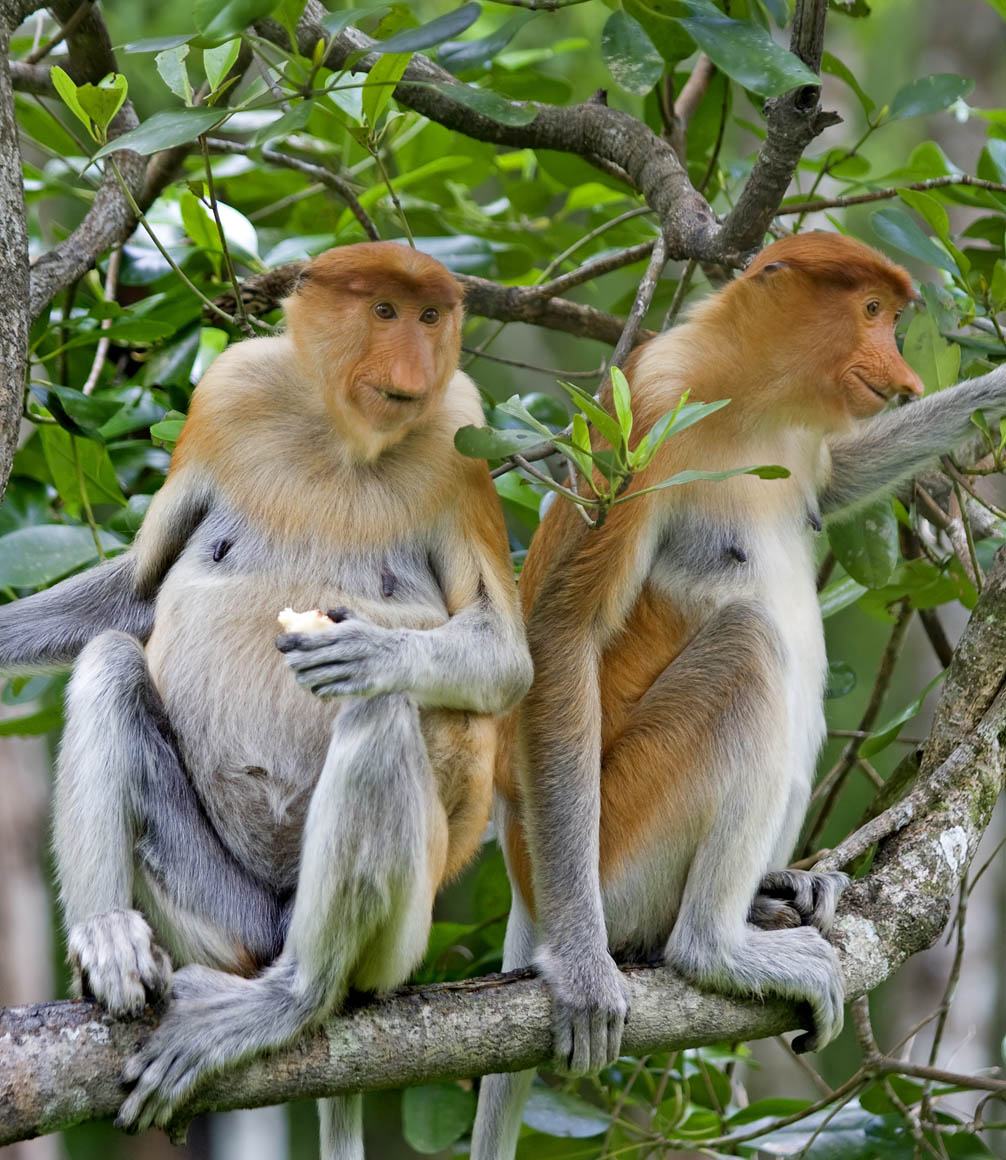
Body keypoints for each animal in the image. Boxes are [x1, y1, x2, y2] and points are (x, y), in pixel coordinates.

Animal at [0, 241, 533, 1157]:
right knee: (109, 664)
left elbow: (504, 660)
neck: (341, 435)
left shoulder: (459, 435)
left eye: (432, 317)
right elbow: (133, 599)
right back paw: (110, 939)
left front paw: (368, 646)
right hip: (219, 917)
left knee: (377, 712)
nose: (414, 367)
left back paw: (293, 998)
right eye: (384, 311)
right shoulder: (227, 394)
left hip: (398, 938)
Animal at [470, 232, 1006, 1160]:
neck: (749, 399)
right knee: (752, 650)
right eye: (872, 312)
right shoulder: (643, 416)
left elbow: (838, 480)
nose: (900, 371)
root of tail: (527, 891)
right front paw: (585, 974)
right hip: (622, 842)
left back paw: (778, 891)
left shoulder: (807, 439)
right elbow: (562, 637)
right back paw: (708, 946)